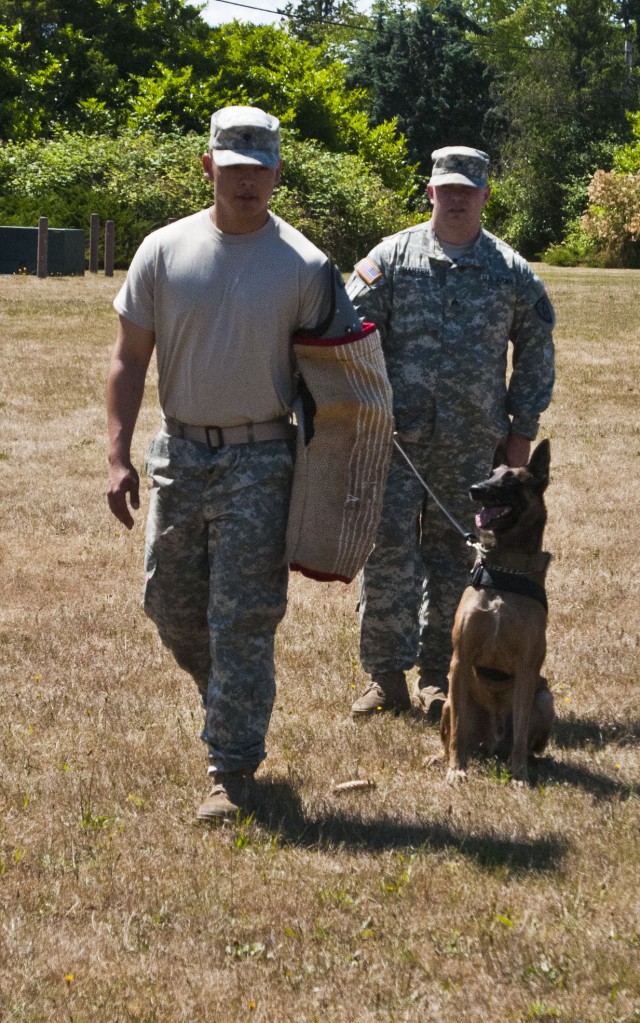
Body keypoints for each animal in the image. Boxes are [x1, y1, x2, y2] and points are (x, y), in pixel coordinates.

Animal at [437, 437, 552, 781]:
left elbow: (521, 736)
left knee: (527, 743)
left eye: (512, 481)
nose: (475, 489)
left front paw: (520, 776)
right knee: (454, 732)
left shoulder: (528, 670)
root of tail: (492, 744)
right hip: (448, 702)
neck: (504, 571)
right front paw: (456, 770)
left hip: (545, 697)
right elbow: (457, 732)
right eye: (490, 474)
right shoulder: (460, 660)